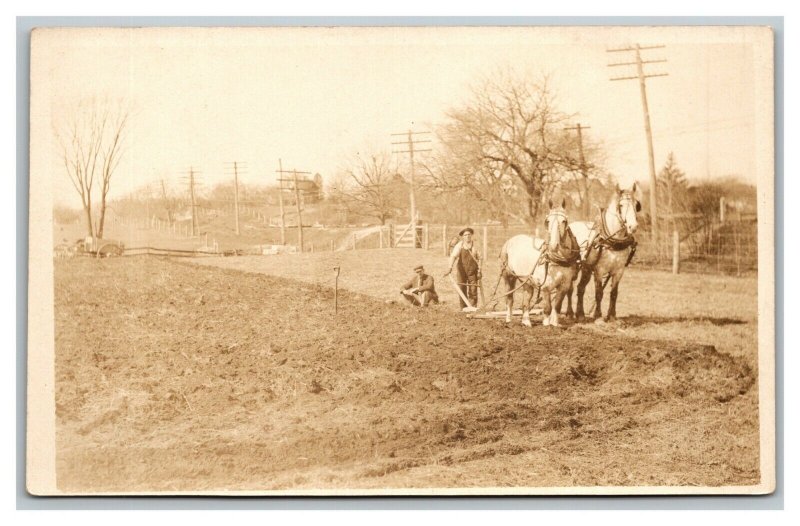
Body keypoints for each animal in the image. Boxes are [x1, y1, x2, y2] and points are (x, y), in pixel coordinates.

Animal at [564, 184, 640, 324]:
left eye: (636, 204)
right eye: (620, 205)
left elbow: (614, 293)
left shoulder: (618, 271)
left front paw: (612, 316)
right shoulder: (599, 270)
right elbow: (599, 293)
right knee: (570, 289)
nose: (633, 226)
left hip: (587, 269)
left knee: (580, 288)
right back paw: (570, 313)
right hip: (573, 267)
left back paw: (580, 314)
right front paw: (598, 316)